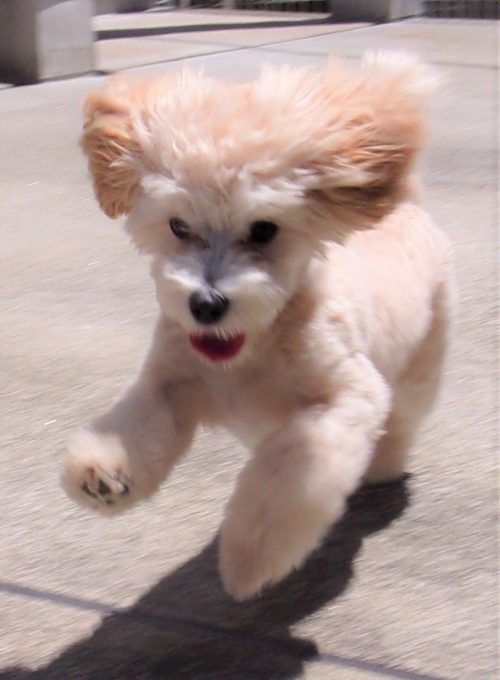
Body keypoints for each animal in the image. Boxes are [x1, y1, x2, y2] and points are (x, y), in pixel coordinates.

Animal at [61, 53, 454, 601]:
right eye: (178, 225)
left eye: (264, 229)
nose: (206, 304)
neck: (252, 348)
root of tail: (407, 206)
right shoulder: (170, 385)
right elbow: (138, 428)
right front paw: (105, 473)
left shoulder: (344, 401)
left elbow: (284, 484)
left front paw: (251, 555)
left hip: (419, 368)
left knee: (400, 422)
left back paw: (381, 466)